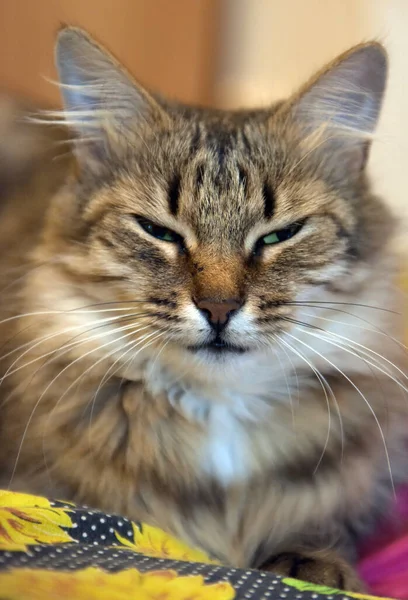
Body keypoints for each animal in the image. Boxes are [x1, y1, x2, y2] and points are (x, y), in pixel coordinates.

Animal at [0, 28, 408, 592]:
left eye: (280, 235)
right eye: (159, 232)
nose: (218, 308)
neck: (219, 408)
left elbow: (321, 532)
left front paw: (316, 565)